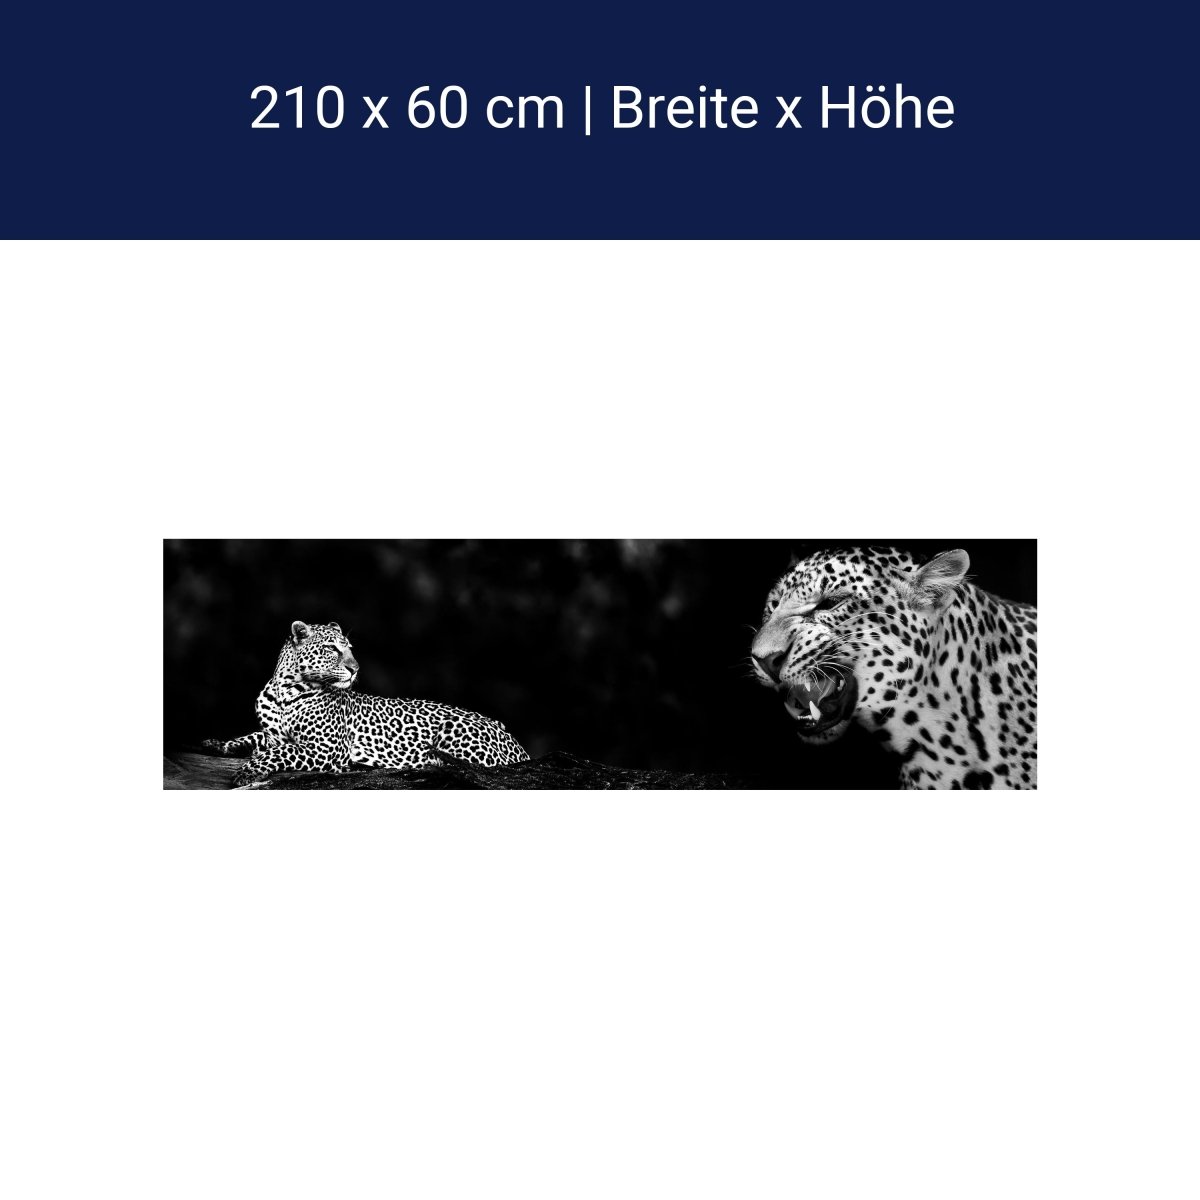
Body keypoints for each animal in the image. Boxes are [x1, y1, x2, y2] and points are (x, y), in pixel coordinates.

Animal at [204, 620, 529, 787]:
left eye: (350, 649)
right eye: (332, 649)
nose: (355, 669)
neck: (285, 690)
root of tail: (516, 743)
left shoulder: (325, 748)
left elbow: (281, 753)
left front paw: (248, 771)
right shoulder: (273, 734)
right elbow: (254, 737)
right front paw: (218, 744)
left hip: (457, 732)